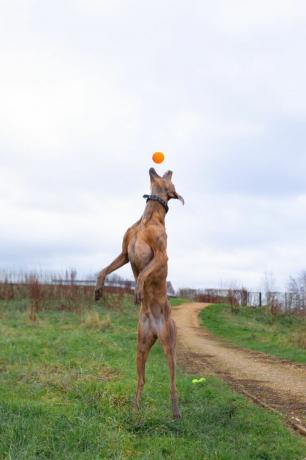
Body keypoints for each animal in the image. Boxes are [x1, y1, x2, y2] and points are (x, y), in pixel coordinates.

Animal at [94, 167, 184, 418]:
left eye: (171, 180)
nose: (169, 168)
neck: (147, 219)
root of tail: (154, 328)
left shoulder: (161, 256)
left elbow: (143, 274)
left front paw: (138, 291)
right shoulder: (124, 253)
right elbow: (105, 269)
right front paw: (98, 288)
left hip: (169, 345)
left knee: (173, 383)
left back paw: (175, 413)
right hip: (141, 345)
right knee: (141, 379)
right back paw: (135, 407)